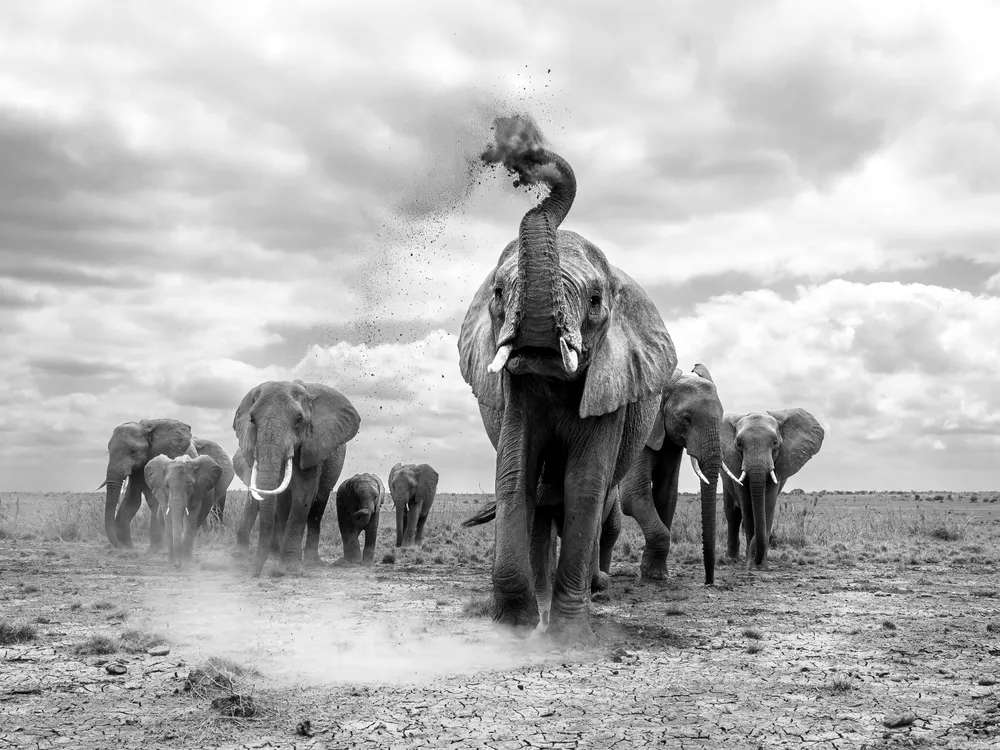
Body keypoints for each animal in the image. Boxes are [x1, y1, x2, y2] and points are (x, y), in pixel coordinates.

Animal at [233, 378, 360, 580]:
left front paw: (287, 569)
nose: (255, 574)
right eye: (252, 419)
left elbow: (303, 494)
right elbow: (282, 500)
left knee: (318, 505)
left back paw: (311, 563)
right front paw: (284, 566)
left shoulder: (313, 446)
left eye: (298, 420)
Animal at [458, 114, 676, 644]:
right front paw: (514, 628)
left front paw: (568, 637)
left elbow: (585, 485)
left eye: (596, 301)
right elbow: (515, 473)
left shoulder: (613, 387)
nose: (524, 160)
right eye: (498, 293)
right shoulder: (516, 391)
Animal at [616, 364, 720, 588]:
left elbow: (666, 495)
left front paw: (654, 575)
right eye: (686, 418)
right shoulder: (641, 429)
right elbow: (633, 495)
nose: (708, 582)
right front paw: (655, 576)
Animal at [724, 412, 824, 568]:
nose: (755, 557)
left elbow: (768, 504)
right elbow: (747, 507)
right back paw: (732, 559)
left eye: (775, 442)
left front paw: (760, 566)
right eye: (739, 444)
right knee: (732, 514)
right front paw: (752, 565)